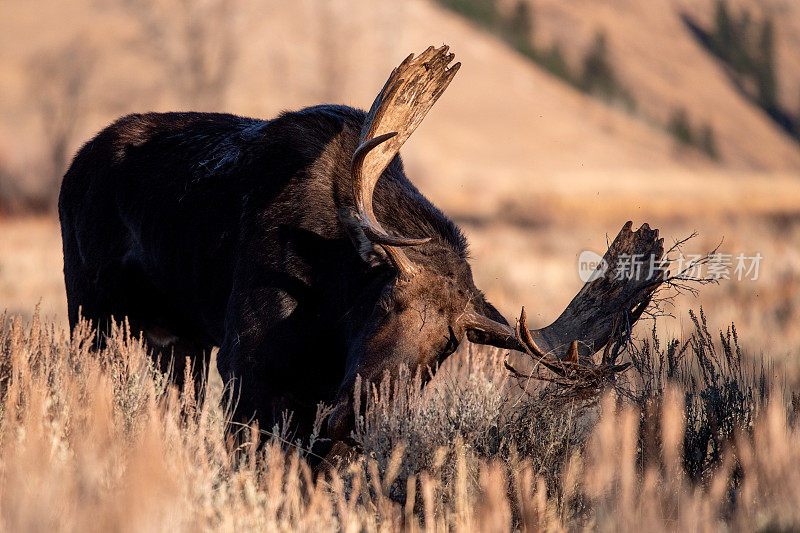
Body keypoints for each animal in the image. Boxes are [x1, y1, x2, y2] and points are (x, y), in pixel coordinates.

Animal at [59, 46, 664, 448]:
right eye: (388, 303)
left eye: (448, 347)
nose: (359, 416)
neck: (328, 297)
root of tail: (76, 163)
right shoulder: (248, 366)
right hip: (90, 312)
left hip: (177, 341)